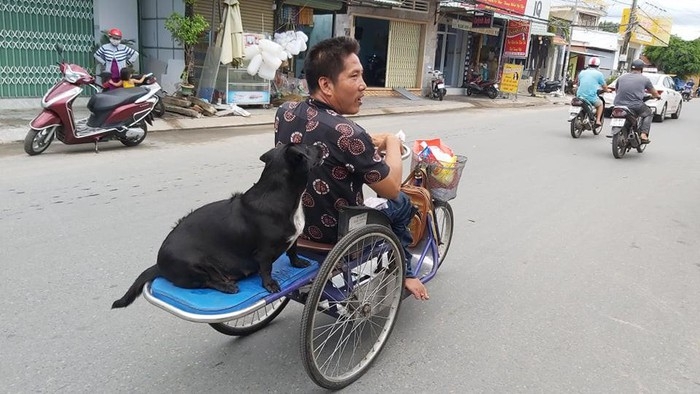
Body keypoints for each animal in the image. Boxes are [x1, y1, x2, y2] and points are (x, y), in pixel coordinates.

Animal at [110, 143, 324, 310]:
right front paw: (270, 284)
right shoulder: (263, 252)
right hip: (193, 263)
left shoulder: (294, 238)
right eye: (306, 148)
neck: (281, 195)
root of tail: (158, 264)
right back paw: (226, 286)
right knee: (206, 282)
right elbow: (266, 269)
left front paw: (298, 263)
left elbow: (293, 251)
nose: (321, 146)